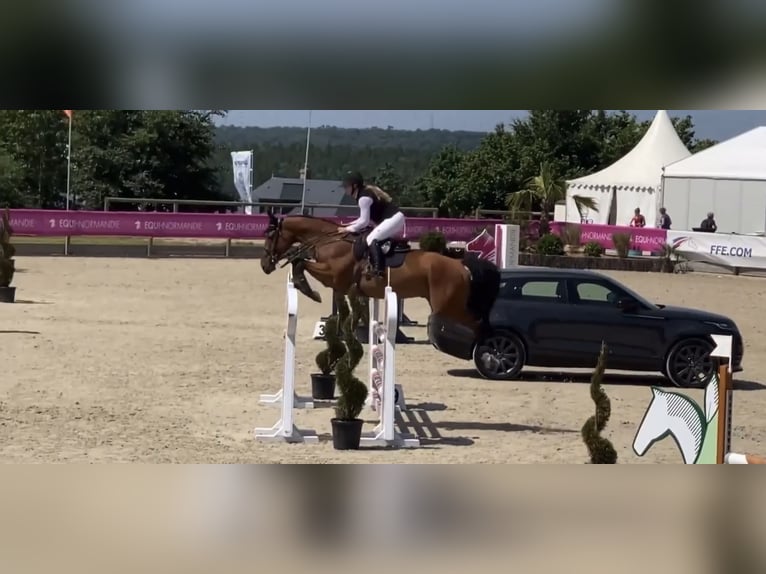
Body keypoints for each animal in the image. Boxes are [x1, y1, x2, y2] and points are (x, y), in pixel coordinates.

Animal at [259, 212, 500, 356]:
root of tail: (460, 264)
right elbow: (350, 314)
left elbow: (300, 263)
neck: (329, 241)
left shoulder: (333, 276)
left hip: (449, 306)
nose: (264, 265)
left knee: (479, 325)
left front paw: (309, 291)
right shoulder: (343, 287)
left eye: (270, 235)